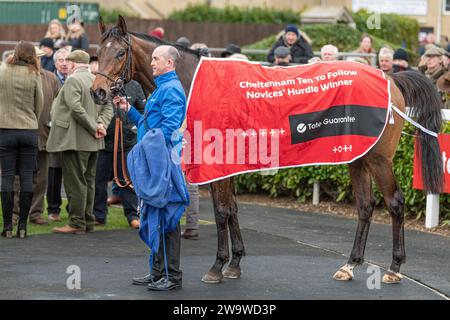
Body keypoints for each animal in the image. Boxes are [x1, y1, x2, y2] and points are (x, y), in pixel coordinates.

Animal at [90, 15, 442, 284]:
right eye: (98, 52)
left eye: (120, 53)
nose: (98, 92)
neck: (195, 83)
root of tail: (391, 78)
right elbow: (232, 210)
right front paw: (234, 263)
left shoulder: (216, 162)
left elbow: (221, 212)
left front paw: (217, 266)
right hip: (357, 157)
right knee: (366, 207)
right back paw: (350, 265)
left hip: (379, 158)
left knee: (395, 203)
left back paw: (394, 269)